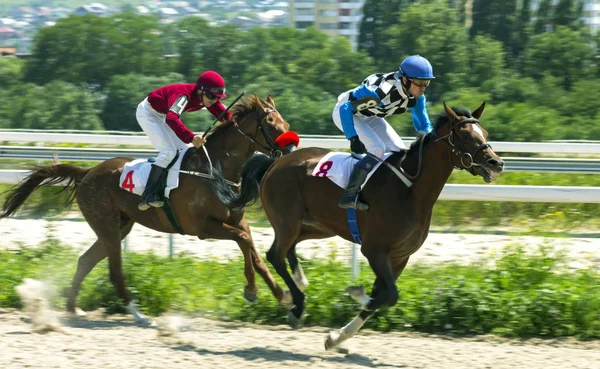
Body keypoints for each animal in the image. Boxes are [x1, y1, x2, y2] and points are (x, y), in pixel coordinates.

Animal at [1, 94, 296, 322]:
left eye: (285, 122)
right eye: (270, 123)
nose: (292, 148)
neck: (214, 170)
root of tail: (87, 173)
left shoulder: (236, 221)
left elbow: (253, 251)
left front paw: (281, 295)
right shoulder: (203, 227)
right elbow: (244, 241)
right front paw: (252, 290)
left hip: (119, 226)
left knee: (85, 260)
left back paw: (73, 308)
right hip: (107, 226)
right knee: (114, 270)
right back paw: (137, 314)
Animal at [211, 103, 506, 348]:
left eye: (485, 132)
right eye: (465, 136)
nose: (497, 163)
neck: (411, 189)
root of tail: (276, 161)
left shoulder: (400, 256)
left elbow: (383, 296)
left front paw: (337, 337)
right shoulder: (375, 250)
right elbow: (388, 295)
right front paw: (354, 292)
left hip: (319, 225)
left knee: (289, 249)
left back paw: (301, 282)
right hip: (287, 219)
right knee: (275, 254)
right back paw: (297, 305)